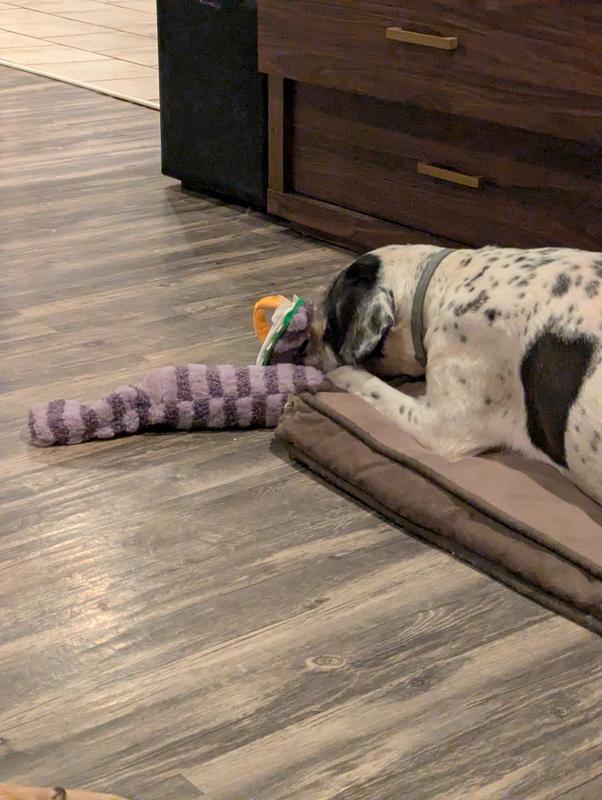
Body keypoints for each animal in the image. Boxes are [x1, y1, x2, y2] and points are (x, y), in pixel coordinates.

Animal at [313, 244, 602, 505]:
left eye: (329, 327)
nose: (307, 343)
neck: (440, 283)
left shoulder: (438, 424)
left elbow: (363, 381)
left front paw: (337, 373)